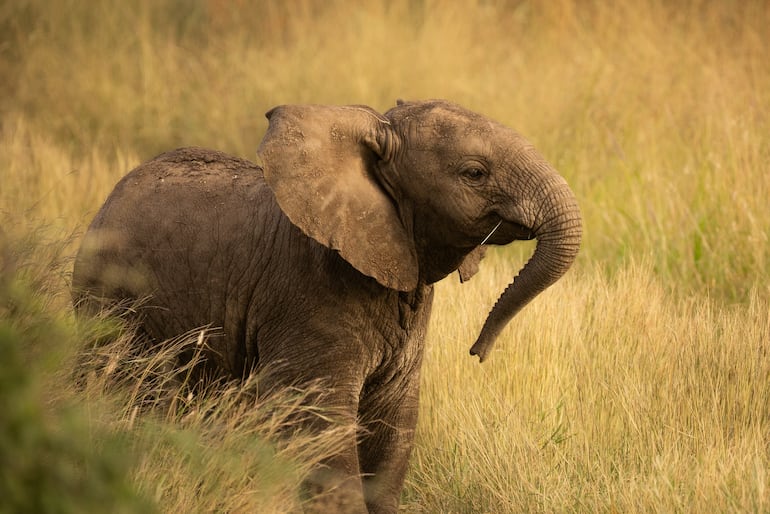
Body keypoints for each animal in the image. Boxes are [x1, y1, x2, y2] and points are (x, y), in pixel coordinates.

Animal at [71, 100, 582, 513]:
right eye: (474, 173)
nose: (478, 351)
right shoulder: (308, 294)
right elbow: (324, 426)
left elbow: (392, 426)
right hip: (108, 302)